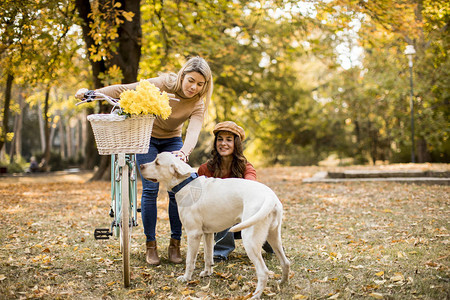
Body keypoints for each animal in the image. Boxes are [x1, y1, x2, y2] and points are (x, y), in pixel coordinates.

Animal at [139, 154, 290, 298]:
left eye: (157, 162)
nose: (140, 165)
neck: (185, 183)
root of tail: (270, 197)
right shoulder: (208, 234)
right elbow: (208, 256)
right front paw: (207, 272)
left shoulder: (193, 234)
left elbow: (190, 261)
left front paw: (186, 278)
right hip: (274, 237)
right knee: (285, 262)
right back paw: (281, 283)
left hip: (250, 241)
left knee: (263, 272)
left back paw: (256, 295)